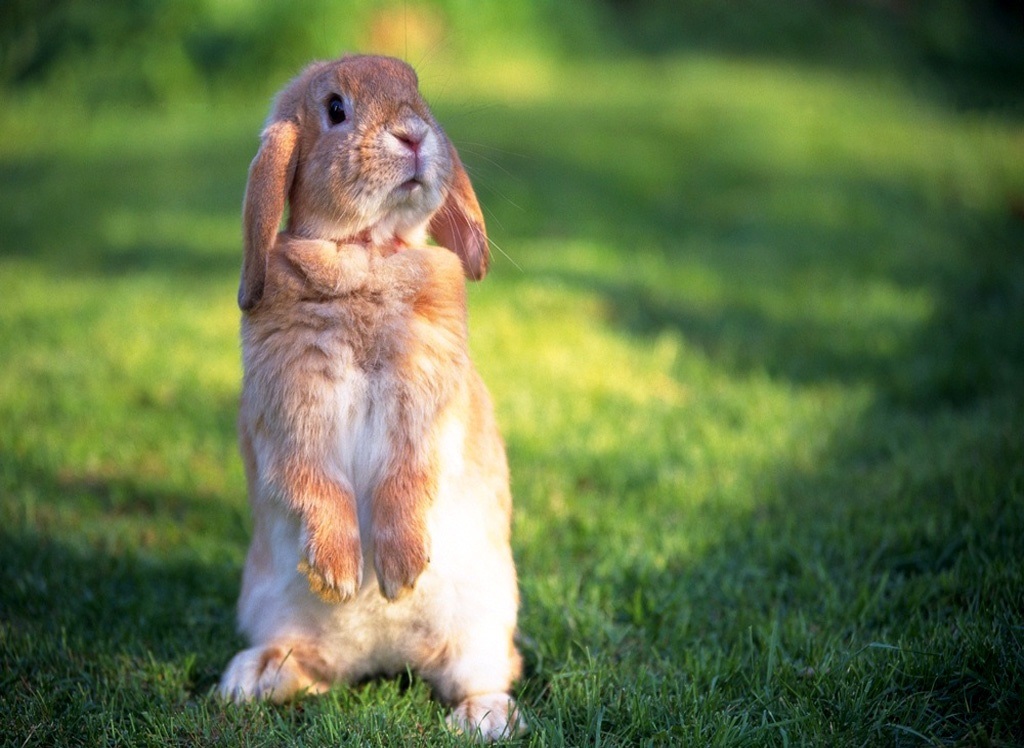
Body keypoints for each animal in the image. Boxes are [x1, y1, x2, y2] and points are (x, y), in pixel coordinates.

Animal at [217, 55, 523, 741]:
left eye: (417, 91)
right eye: (335, 109)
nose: (413, 135)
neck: (365, 252)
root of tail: (383, 658)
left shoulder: (425, 412)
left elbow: (405, 480)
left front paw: (401, 572)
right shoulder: (291, 415)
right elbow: (316, 483)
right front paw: (338, 574)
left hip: (484, 625)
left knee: (485, 672)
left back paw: (482, 718)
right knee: (310, 668)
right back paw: (251, 678)